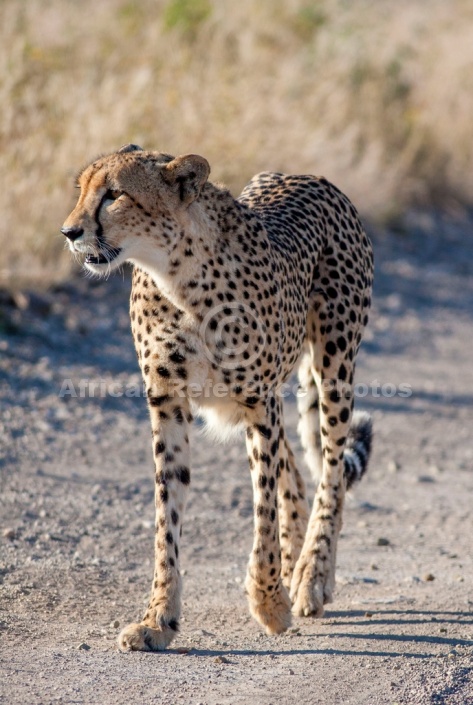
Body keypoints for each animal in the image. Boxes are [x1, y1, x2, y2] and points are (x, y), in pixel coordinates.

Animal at [61, 144, 372, 656]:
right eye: (82, 190)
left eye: (114, 195)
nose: (70, 232)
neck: (175, 276)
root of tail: (303, 175)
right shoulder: (168, 404)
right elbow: (166, 518)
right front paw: (158, 619)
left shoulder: (258, 402)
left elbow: (262, 509)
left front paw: (270, 603)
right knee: (296, 467)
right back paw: (295, 563)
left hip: (333, 365)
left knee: (330, 469)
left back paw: (311, 577)